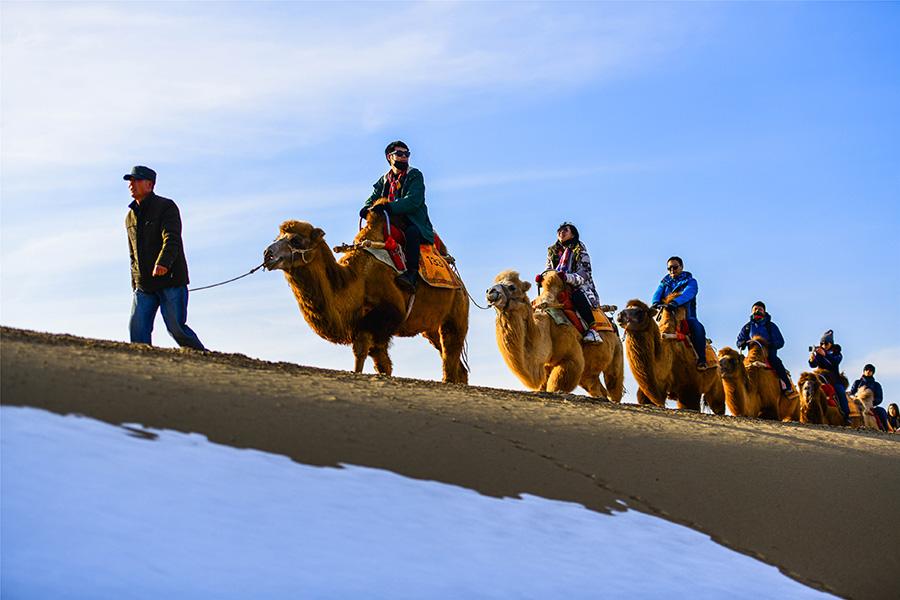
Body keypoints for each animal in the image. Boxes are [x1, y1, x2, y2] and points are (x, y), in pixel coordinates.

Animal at [264, 217, 468, 384]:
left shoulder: (383, 318)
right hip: (431, 329)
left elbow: (362, 352)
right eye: (277, 237)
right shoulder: (373, 328)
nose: (268, 253)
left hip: (456, 314)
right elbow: (381, 363)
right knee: (456, 362)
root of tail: (459, 282)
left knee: (450, 352)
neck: (358, 280)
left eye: (295, 239)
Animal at [486, 270, 624, 400]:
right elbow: (543, 385)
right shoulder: (545, 365)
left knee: (613, 382)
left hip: (617, 353)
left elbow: (554, 386)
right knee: (594, 384)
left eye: (512, 287)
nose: (490, 291)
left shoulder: (571, 358)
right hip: (588, 372)